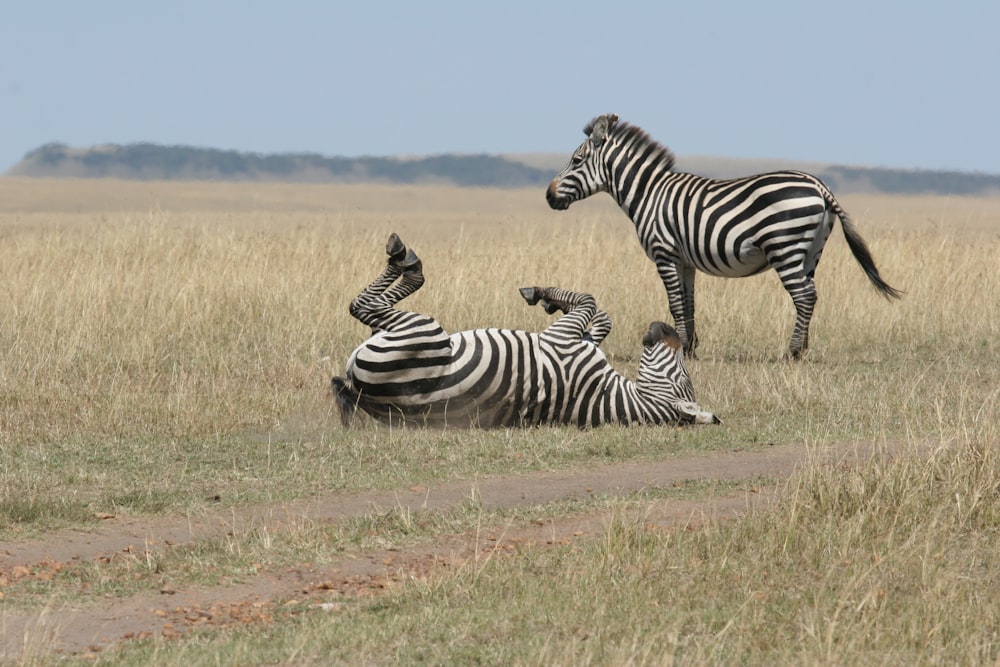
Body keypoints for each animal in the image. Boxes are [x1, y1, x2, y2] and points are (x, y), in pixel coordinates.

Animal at [334, 235, 720, 428]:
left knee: (362, 306)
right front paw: (550, 300)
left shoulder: (563, 341)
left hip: (423, 333)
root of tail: (363, 394)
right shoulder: (579, 342)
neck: (611, 397)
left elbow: (589, 301)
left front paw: (541, 294)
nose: (663, 327)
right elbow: (601, 316)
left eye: (681, 374)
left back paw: (405, 258)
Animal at [544, 113, 904, 360]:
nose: (548, 196)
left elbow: (674, 303)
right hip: (811, 251)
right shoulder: (685, 260)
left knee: (803, 296)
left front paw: (679, 349)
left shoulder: (664, 253)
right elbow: (688, 303)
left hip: (785, 247)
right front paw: (690, 348)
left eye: (576, 160)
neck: (648, 194)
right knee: (811, 295)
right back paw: (803, 348)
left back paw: (791, 353)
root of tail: (820, 187)